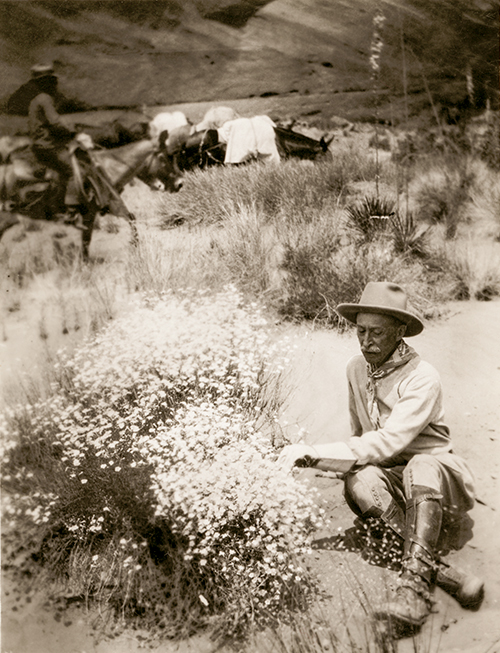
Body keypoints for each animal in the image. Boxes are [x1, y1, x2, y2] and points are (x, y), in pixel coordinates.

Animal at [0, 136, 184, 260]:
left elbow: (130, 219)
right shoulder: (94, 211)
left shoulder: (108, 206)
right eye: (164, 157)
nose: (180, 183)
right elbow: (87, 239)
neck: (108, 168)